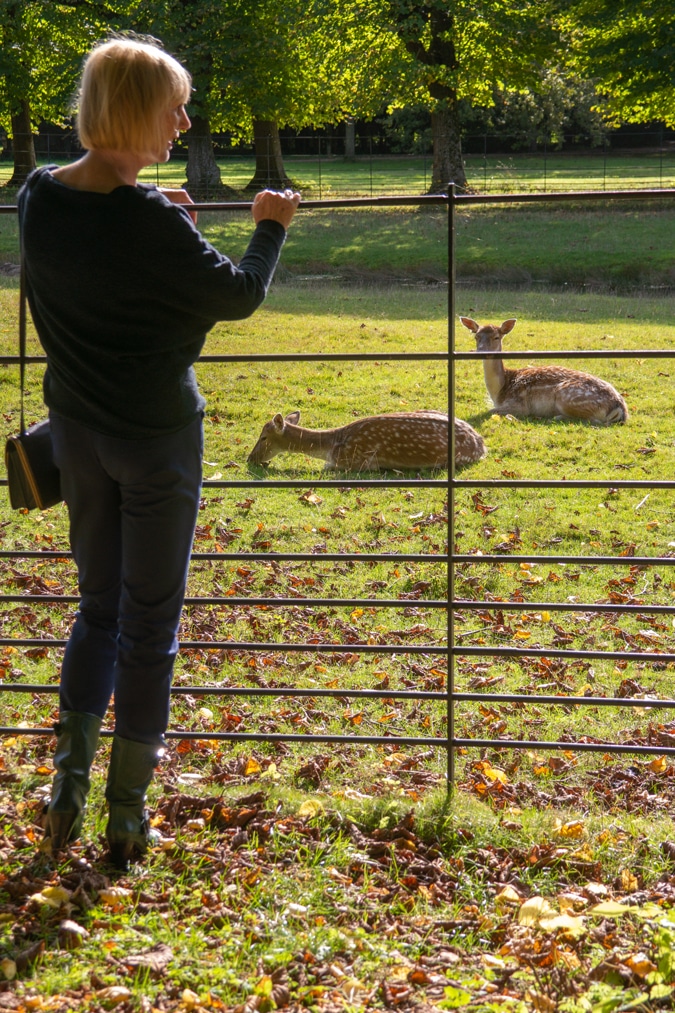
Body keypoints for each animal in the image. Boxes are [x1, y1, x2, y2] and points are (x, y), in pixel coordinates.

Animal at [459, 316, 629, 424]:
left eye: (496, 337)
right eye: (476, 336)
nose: (480, 351)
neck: (500, 391)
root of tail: (620, 408)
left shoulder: (519, 405)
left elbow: (489, 411)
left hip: (568, 397)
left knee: (594, 420)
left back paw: (557, 417)